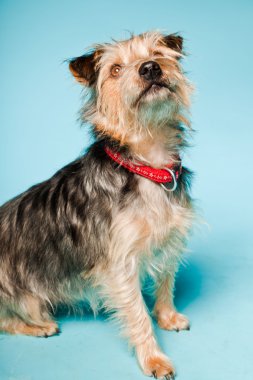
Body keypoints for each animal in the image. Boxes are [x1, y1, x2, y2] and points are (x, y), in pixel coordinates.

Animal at [0, 31, 196, 378]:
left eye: (158, 53)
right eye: (116, 69)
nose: (150, 68)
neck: (146, 164)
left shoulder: (171, 236)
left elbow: (166, 280)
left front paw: (168, 315)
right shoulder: (119, 264)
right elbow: (138, 313)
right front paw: (154, 358)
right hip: (20, 295)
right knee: (6, 320)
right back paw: (38, 327)